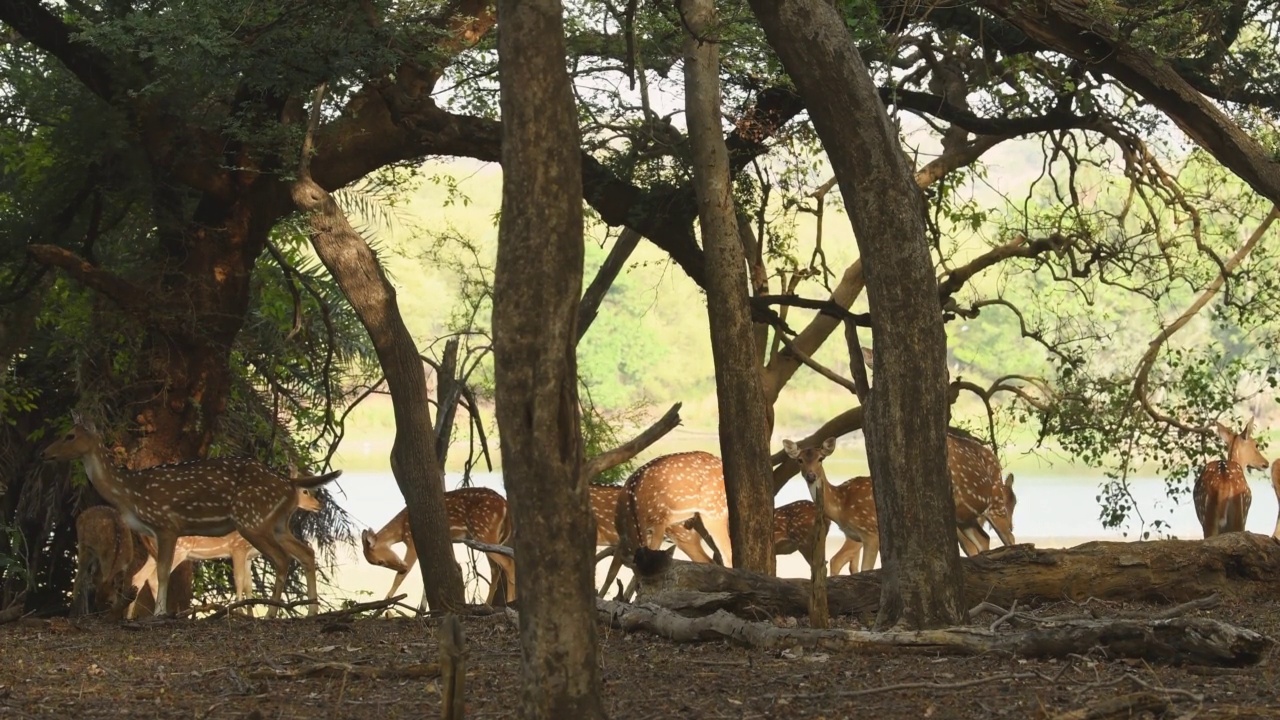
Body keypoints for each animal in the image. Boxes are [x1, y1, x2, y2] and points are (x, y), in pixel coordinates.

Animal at [128, 481, 325, 617]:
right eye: (305, 490)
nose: (319, 505)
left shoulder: (248, 556)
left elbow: (248, 586)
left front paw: (248, 614)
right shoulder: (238, 548)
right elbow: (239, 580)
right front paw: (236, 612)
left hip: (155, 553)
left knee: (139, 577)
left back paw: (132, 615)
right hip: (179, 550)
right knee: (154, 576)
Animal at [360, 481, 514, 604]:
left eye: (380, 561)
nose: (402, 567)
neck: (401, 529)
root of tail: (505, 504)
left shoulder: (412, 541)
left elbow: (400, 577)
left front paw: (386, 600)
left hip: (484, 532)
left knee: (507, 563)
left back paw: (510, 601)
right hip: (491, 537)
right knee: (496, 569)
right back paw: (488, 604)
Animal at [599, 448, 732, 594]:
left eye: (661, 575)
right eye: (640, 583)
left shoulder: (660, 520)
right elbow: (611, 572)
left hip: (715, 511)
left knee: (727, 554)